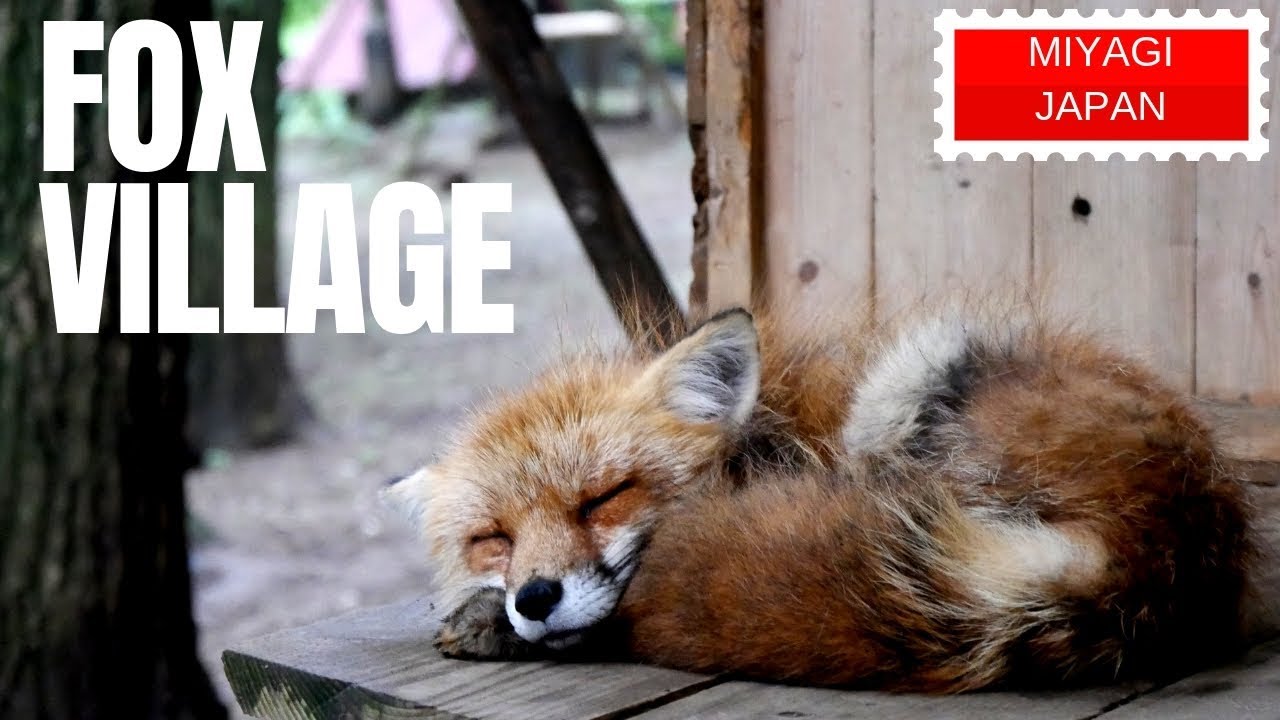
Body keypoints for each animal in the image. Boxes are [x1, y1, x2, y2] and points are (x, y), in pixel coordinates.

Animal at [383, 296, 1257, 692]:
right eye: (492, 538)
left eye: (604, 498)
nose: (534, 597)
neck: (774, 430)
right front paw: (488, 617)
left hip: (912, 370)